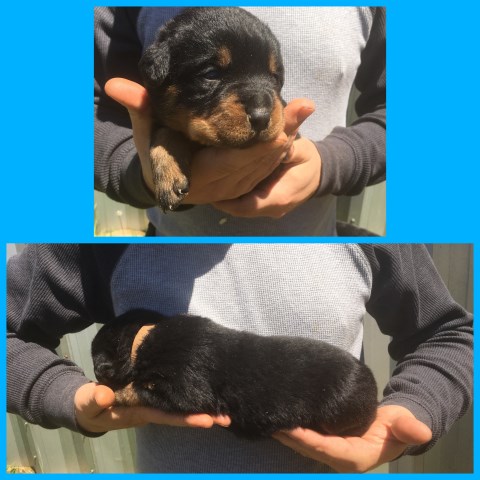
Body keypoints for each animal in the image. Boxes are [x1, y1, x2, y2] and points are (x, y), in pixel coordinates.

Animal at [92, 312, 378, 438]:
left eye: (97, 356)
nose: (96, 371)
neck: (141, 340)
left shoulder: (187, 384)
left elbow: (140, 388)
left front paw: (120, 392)